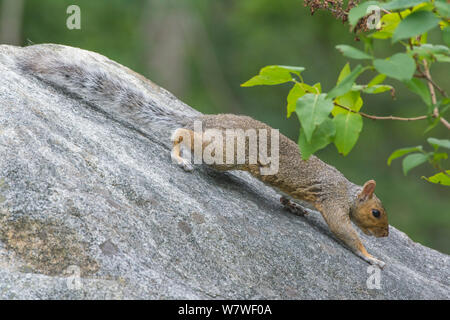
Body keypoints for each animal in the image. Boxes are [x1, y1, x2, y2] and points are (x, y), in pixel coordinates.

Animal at [17, 43, 388, 266]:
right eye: (377, 213)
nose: (385, 235)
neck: (348, 191)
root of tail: (209, 119)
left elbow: (292, 200)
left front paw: (294, 207)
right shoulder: (334, 202)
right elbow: (343, 230)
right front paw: (371, 257)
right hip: (229, 152)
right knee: (184, 135)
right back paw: (181, 155)